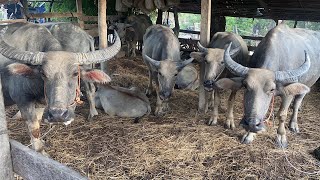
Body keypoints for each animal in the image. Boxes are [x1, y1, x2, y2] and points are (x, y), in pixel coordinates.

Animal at [0, 22, 120, 154]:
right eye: (43, 73)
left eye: (75, 73)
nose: (58, 114)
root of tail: (87, 36)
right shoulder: (23, 100)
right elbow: (35, 129)